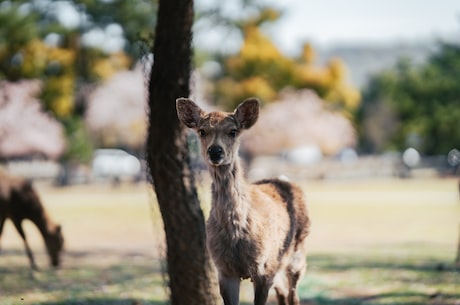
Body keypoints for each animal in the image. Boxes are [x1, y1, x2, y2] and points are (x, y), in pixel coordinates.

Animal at [178, 97, 310, 304]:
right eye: (202, 131)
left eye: (233, 131)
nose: (215, 151)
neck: (235, 233)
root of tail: (284, 179)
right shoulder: (224, 270)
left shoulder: (263, 268)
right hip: (277, 264)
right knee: (282, 292)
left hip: (297, 252)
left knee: (293, 294)